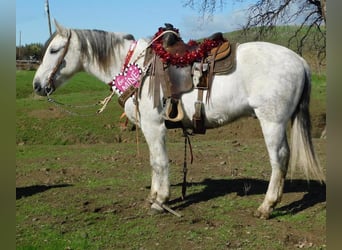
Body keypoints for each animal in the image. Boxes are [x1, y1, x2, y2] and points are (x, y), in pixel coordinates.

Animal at [32, 21, 324, 219]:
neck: (135, 67)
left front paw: (160, 201)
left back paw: (267, 206)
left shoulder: (154, 126)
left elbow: (159, 162)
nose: (36, 85)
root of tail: (299, 61)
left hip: (272, 122)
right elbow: (154, 162)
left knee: (279, 159)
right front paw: (153, 196)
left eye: (55, 50)